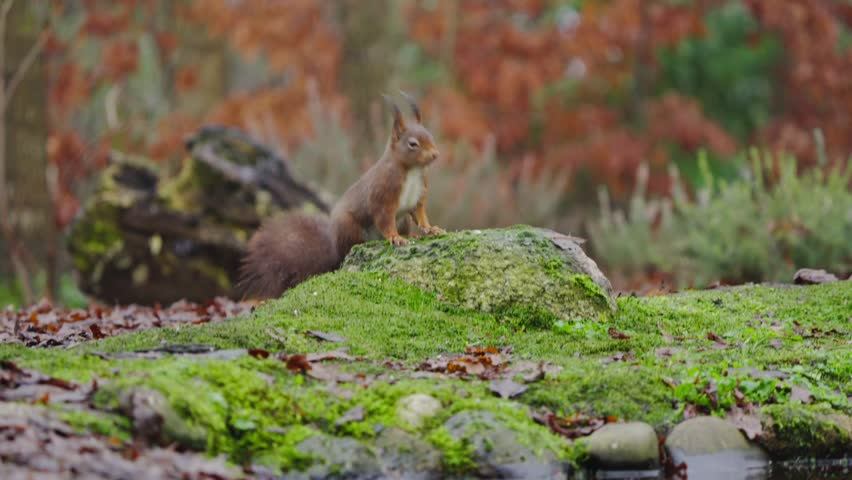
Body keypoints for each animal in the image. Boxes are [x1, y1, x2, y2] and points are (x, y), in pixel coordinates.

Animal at [237, 93, 446, 300]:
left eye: (430, 136)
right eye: (413, 144)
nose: (436, 154)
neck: (412, 171)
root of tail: (335, 250)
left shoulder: (418, 196)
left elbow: (420, 215)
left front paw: (431, 229)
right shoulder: (382, 193)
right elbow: (384, 218)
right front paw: (395, 238)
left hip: (402, 221)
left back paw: (412, 236)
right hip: (348, 227)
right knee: (349, 250)